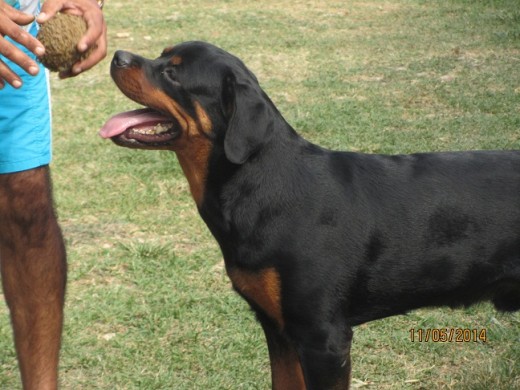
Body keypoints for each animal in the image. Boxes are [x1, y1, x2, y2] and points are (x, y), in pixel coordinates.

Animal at [101, 41, 520, 388]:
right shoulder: (280, 331)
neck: (258, 184)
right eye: (160, 55)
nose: (118, 55)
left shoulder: (324, 339)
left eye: (172, 73)